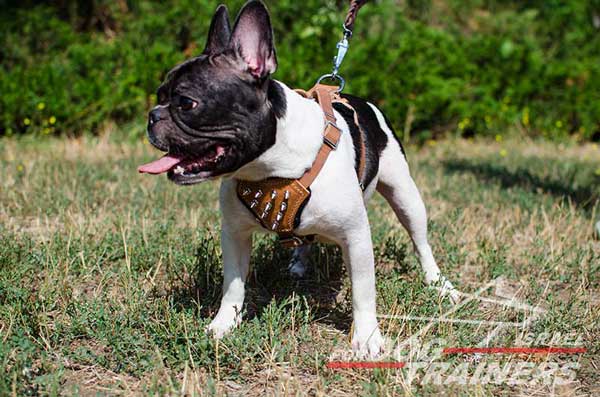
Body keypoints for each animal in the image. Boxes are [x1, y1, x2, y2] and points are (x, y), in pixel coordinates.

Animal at [138, 0, 458, 356]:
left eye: (185, 102)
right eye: (160, 95)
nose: (152, 115)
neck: (271, 169)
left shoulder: (356, 236)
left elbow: (363, 291)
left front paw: (367, 337)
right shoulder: (234, 234)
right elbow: (233, 285)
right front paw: (224, 324)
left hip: (405, 195)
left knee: (420, 241)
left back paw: (439, 284)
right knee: (304, 239)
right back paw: (298, 264)